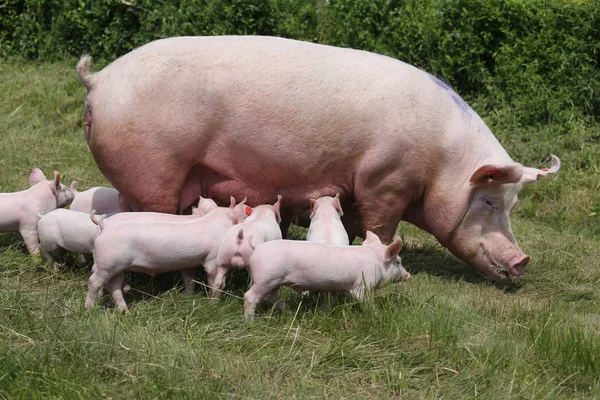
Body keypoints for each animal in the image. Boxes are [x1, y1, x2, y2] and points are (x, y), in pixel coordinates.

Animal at [77, 36, 560, 282]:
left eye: (513, 203)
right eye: (489, 201)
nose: (523, 260)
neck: (442, 162)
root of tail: (100, 78)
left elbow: (355, 224)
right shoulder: (386, 181)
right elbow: (382, 226)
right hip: (153, 170)